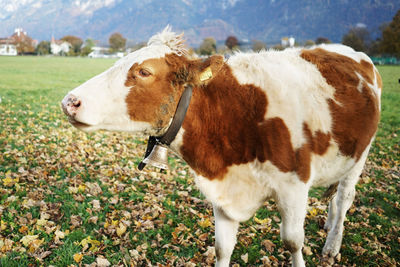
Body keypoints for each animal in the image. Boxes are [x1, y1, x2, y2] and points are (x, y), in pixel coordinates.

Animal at [61, 26, 382, 266]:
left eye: (144, 72)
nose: (69, 101)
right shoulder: (223, 191)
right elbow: (223, 247)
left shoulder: (294, 186)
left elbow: (293, 241)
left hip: (360, 155)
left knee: (345, 198)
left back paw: (332, 245)